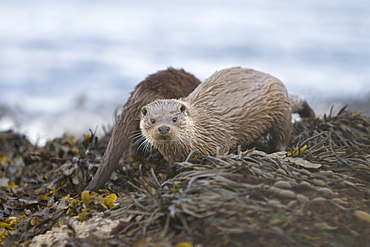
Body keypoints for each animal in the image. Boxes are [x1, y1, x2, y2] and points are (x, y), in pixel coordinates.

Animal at [140, 66, 294, 163]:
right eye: (152, 120)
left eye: (174, 119)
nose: (163, 128)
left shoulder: (218, 139)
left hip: (282, 112)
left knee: (283, 135)